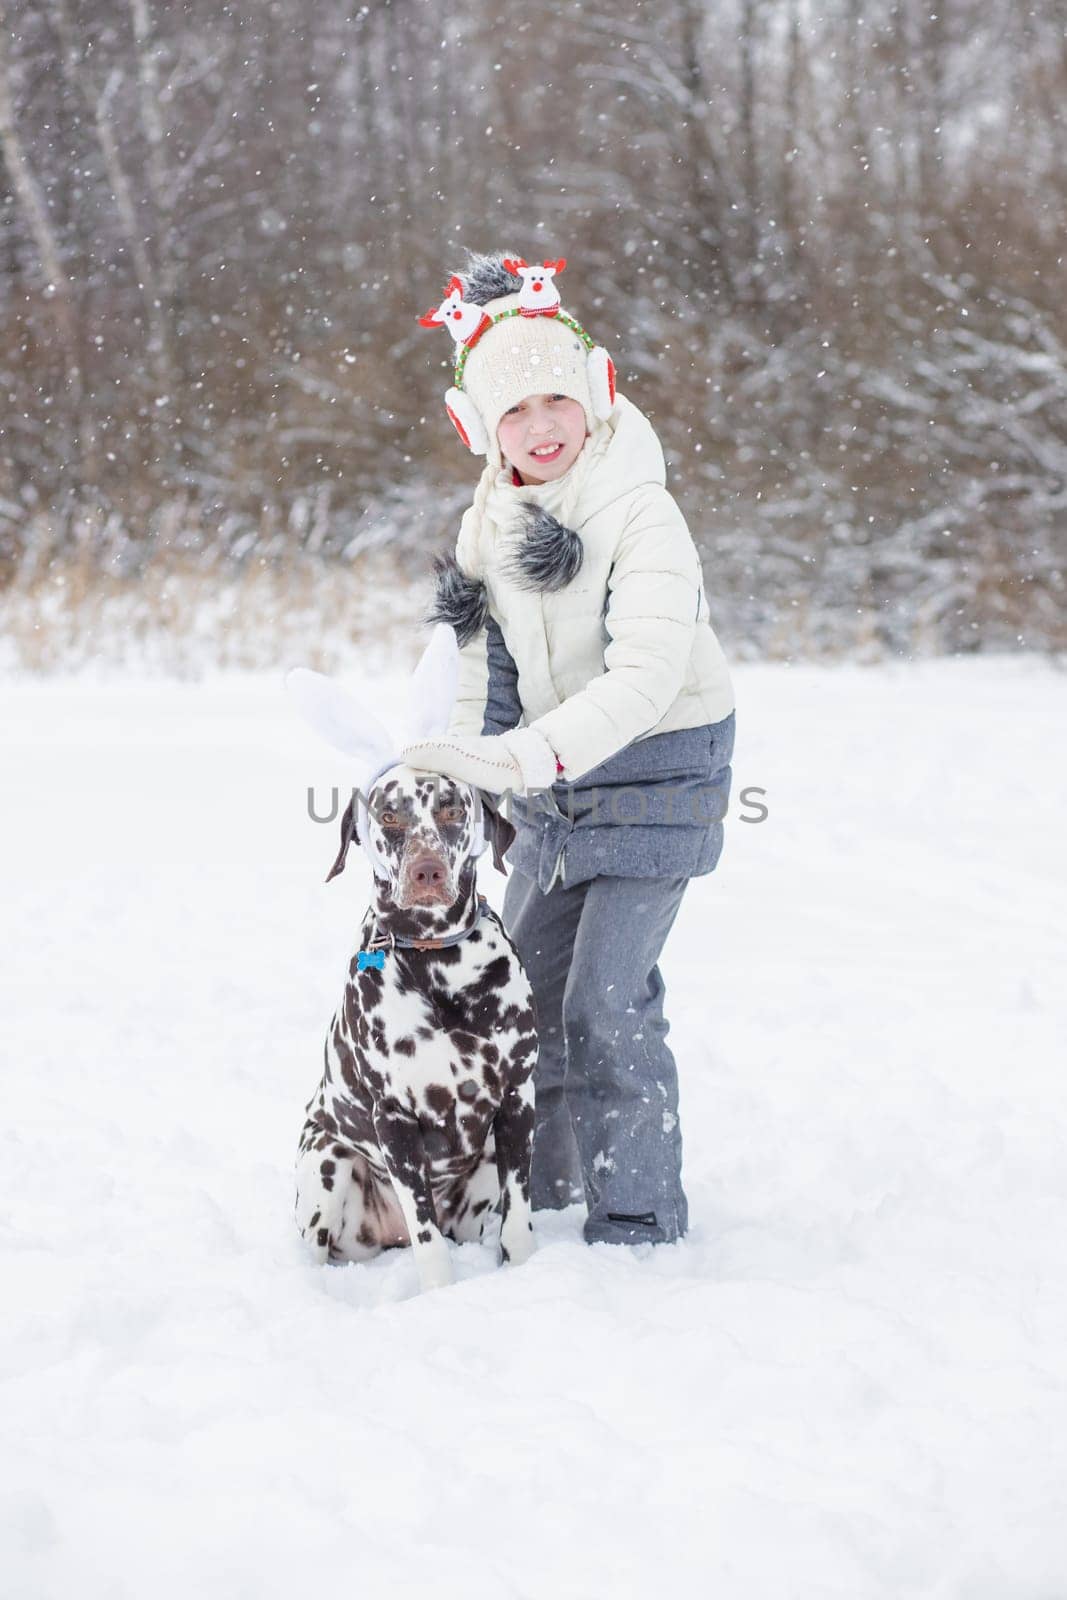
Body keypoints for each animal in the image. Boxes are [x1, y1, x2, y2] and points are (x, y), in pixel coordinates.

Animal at [294, 755, 537, 1292]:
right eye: (389, 816)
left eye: (451, 810)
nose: (428, 870)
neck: (435, 963)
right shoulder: (394, 1119)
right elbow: (426, 1238)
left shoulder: (518, 1100)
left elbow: (518, 1218)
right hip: (326, 1159)